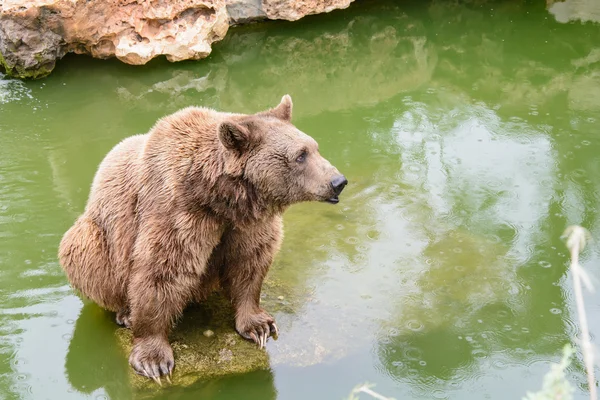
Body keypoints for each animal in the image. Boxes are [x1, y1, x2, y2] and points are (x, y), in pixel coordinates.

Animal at [57, 95, 346, 382]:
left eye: (314, 147)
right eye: (300, 155)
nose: (338, 181)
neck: (220, 197)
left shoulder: (246, 223)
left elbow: (249, 261)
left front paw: (259, 326)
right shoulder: (177, 211)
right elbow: (161, 270)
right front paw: (154, 360)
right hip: (97, 238)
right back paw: (125, 313)